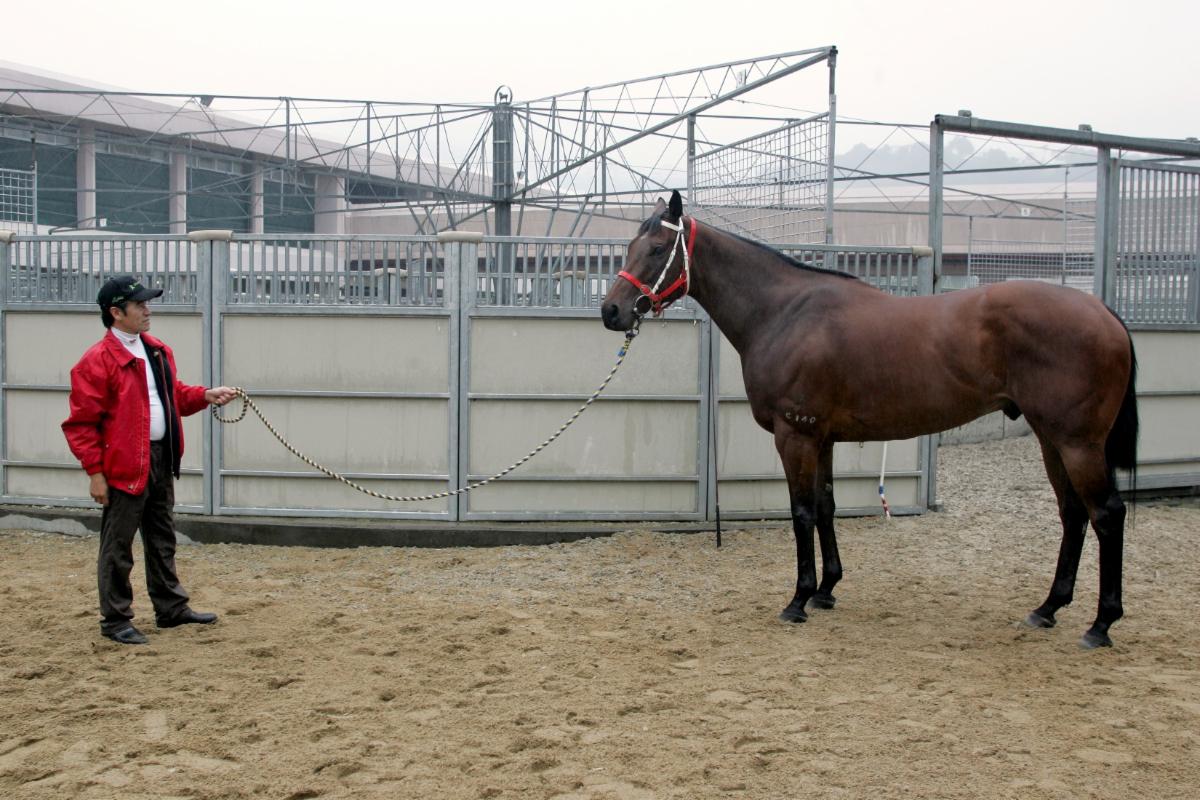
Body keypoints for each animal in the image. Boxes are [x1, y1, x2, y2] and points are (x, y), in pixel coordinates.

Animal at [604, 194, 1137, 652]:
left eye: (657, 249)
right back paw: (1047, 609)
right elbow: (825, 506)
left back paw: (1100, 624)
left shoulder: (795, 436)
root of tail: (1103, 311)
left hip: (1078, 443)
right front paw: (826, 590)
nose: (612, 311)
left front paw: (798, 600)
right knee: (1073, 514)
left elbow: (801, 512)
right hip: (1051, 440)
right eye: (630, 246)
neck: (784, 312)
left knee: (1107, 514)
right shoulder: (822, 438)